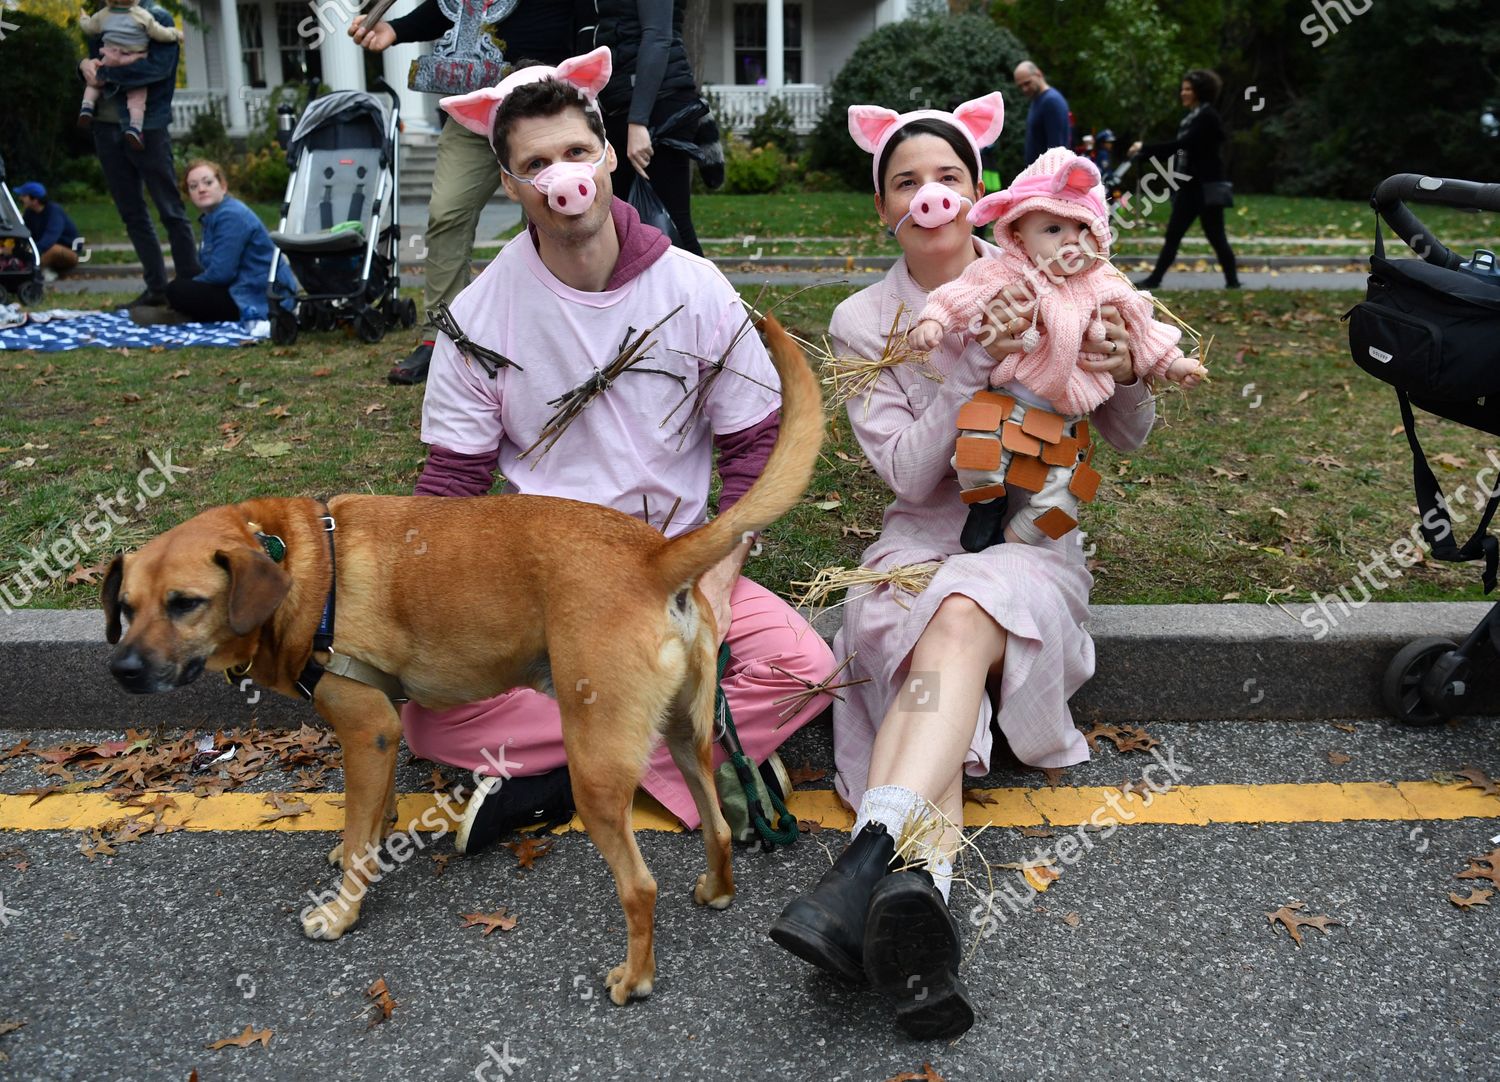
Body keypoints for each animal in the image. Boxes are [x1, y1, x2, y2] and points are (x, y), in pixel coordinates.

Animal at [99, 315, 828, 1002]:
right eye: (127, 606)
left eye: (185, 603)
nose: (122, 672)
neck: (297, 559)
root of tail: (653, 555)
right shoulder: (382, 729)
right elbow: (373, 815)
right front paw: (365, 844)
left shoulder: (366, 727)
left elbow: (360, 838)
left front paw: (342, 911)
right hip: (687, 734)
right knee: (719, 827)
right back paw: (717, 887)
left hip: (595, 766)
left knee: (639, 886)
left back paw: (635, 977)